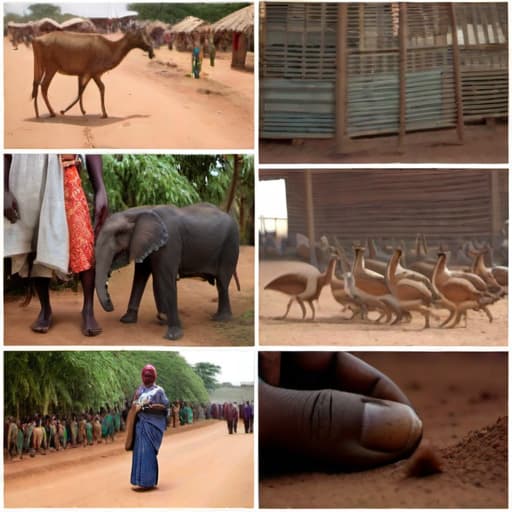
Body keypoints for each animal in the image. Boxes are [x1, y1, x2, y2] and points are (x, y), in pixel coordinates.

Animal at [94, 203, 240, 340]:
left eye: (118, 233)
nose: (111, 305)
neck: (141, 211)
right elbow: (141, 276)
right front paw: (128, 320)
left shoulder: (170, 242)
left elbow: (167, 280)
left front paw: (173, 335)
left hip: (230, 245)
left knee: (222, 282)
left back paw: (221, 319)